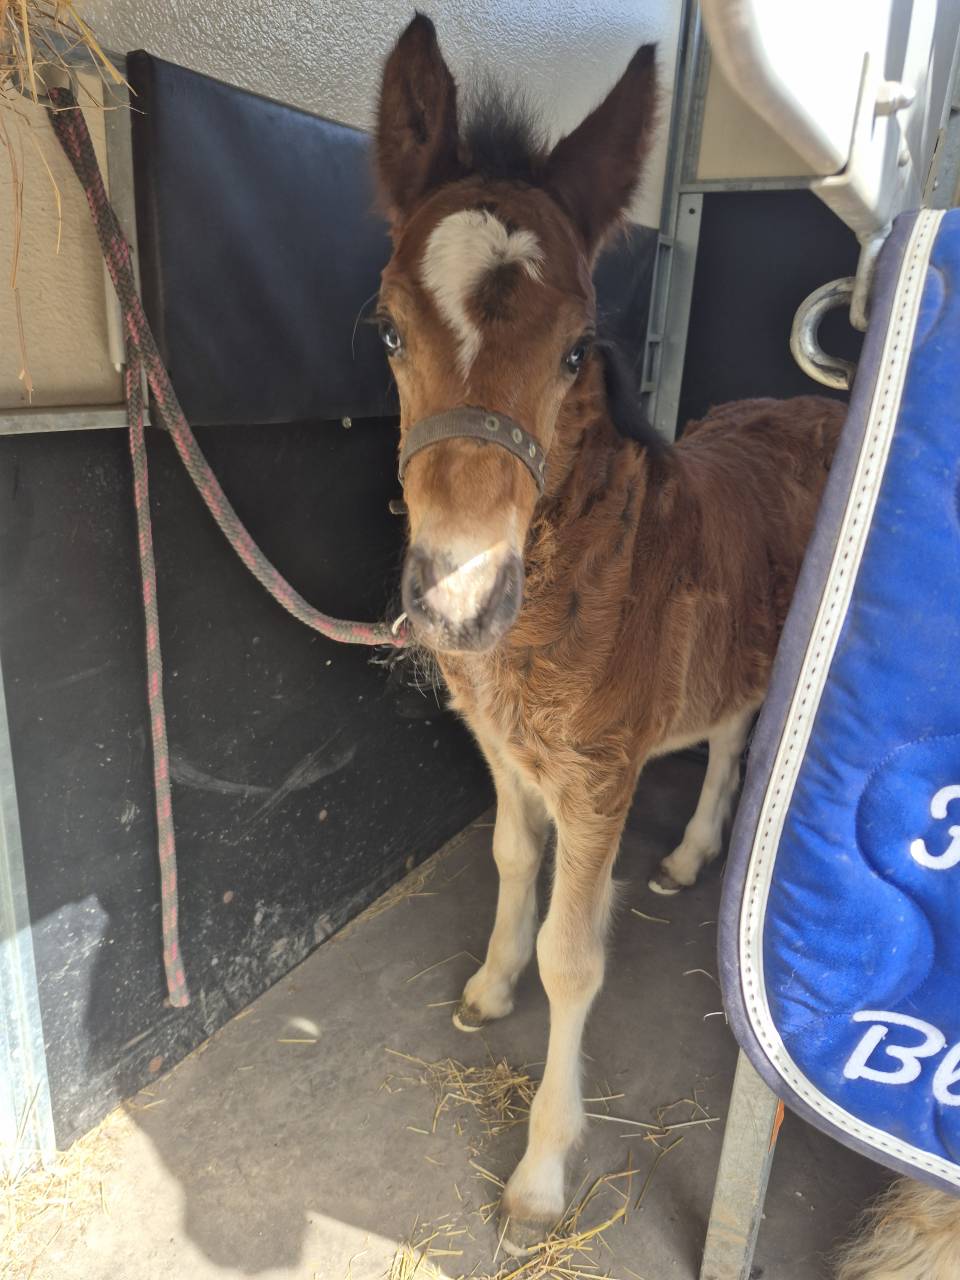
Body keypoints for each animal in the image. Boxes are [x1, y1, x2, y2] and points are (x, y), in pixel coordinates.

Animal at [374, 13, 845, 1253]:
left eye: (579, 347)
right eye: (387, 327)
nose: (458, 598)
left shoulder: (598, 776)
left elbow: (574, 956)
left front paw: (543, 1169)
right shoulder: (505, 751)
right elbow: (509, 860)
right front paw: (488, 989)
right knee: (728, 733)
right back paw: (687, 857)